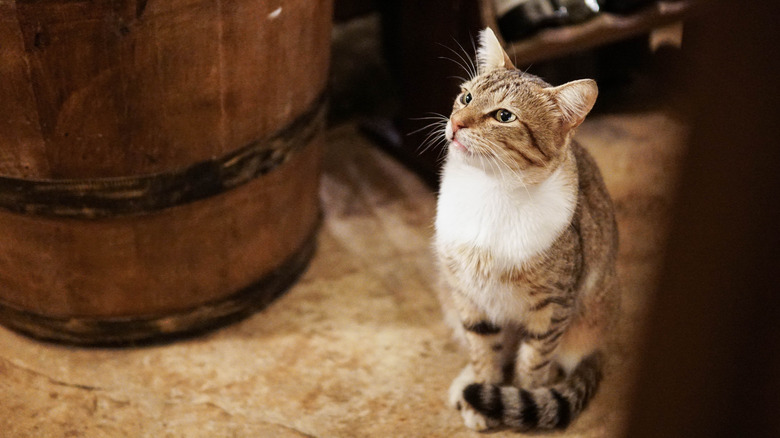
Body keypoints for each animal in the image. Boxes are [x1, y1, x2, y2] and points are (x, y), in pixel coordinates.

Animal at [430, 28, 620, 432]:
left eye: (504, 116)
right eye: (466, 96)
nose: (456, 124)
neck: (488, 191)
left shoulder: (553, 308)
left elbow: (533, 364)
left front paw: (519, 400)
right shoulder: (469, 297)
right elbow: (483, 351)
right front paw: (481, 390)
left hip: (585, 323)